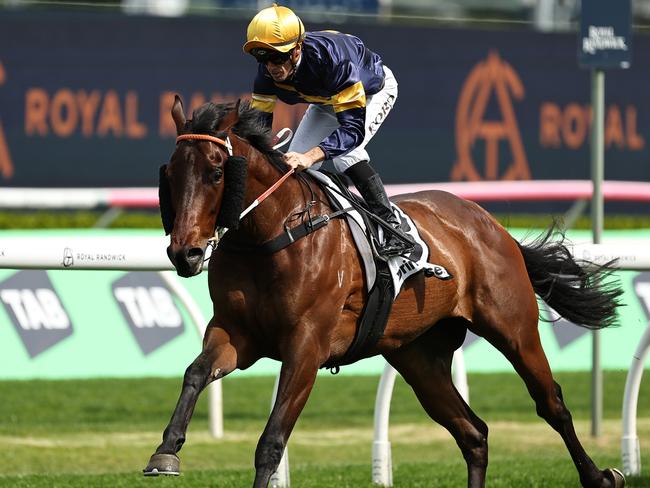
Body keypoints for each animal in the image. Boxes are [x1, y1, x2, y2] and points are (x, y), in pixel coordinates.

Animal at [146, 96, 624, 488]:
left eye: (216, 173)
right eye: (170, 175)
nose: (185, 253)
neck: (272, 235)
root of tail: (488, 222)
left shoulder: (306, 346)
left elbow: (271, 442)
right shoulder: (236, 334)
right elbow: (195, 373)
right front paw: (166, 451)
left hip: (513, 328)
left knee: (551, 403)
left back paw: (601, 476)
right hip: (419, 355)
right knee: (473, 433)